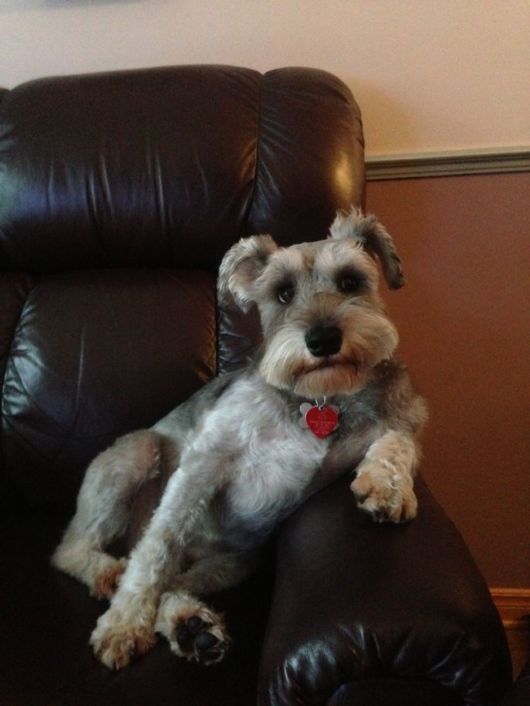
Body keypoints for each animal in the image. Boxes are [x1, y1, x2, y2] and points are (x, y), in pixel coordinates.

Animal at [51, 206, 424, 668]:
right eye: (283, 293)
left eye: (351, 281)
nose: (322, 340)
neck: (318, 398)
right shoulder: (206, 459)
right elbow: (157, 547)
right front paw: (122, 625)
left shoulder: (401, 417)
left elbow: (399, 441)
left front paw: (387, 489)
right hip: (137, 453)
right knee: (76, 549)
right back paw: (110, 574)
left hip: (238, 560)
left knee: (175, 582)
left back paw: (189, 625)